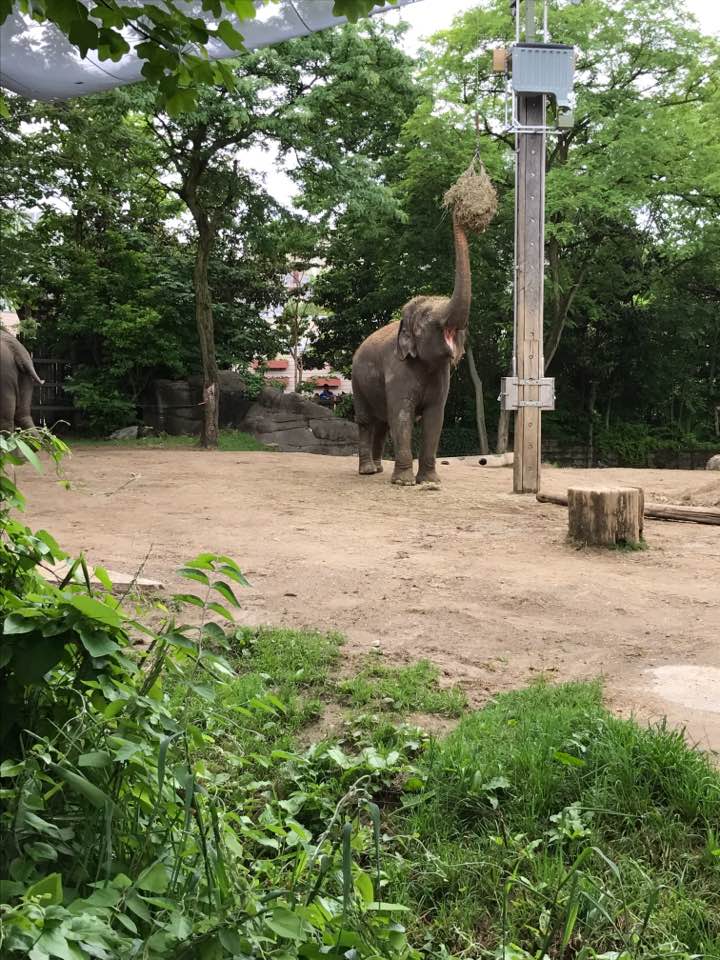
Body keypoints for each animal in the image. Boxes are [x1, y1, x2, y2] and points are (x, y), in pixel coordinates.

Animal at [351, 211, 471, 485]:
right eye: (427, 319)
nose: (457, 216)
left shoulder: (441, 376)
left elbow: (435, 418)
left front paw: (429, 481)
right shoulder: (398, 368)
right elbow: (402, 415)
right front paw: (404, 482)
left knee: (382, 423)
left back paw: (378, 468)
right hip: (356, 382)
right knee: (366, 421)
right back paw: (368, 470)